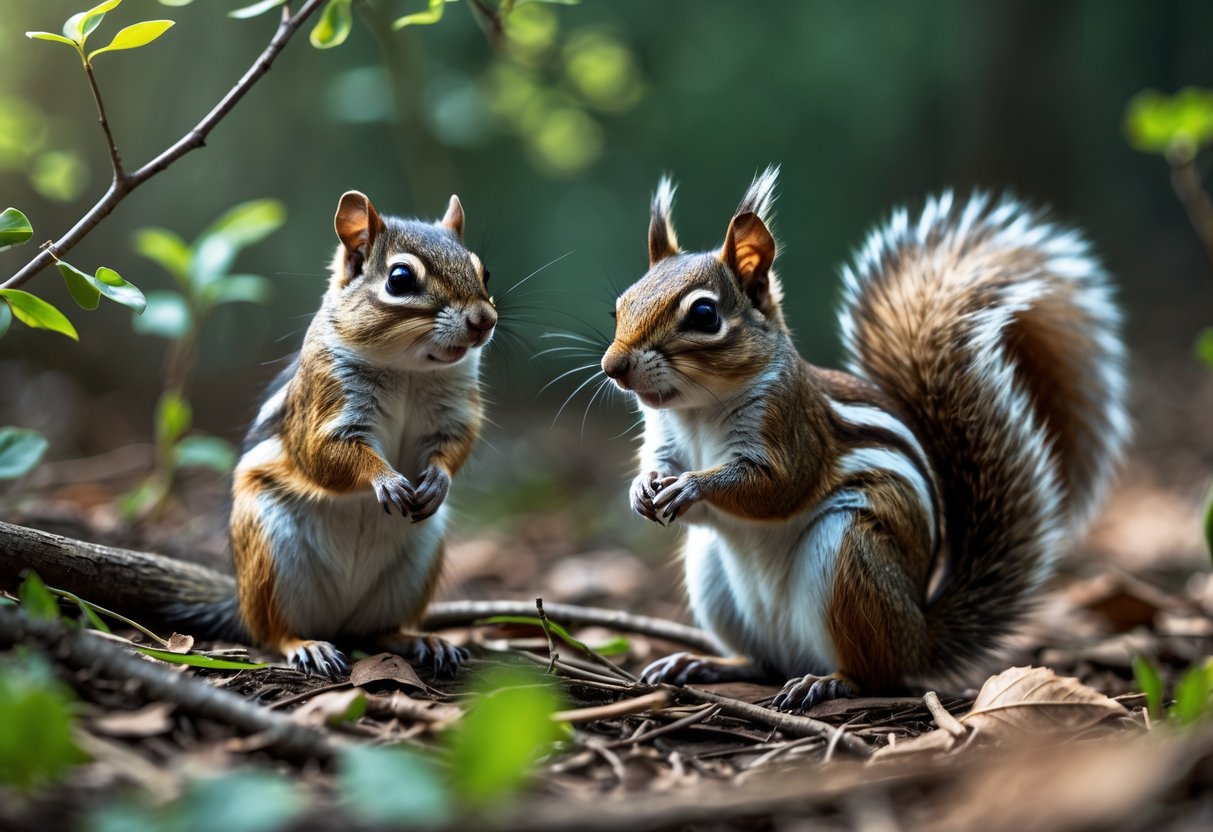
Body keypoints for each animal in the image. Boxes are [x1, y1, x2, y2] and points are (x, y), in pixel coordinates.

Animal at [182, 189, 496, 679]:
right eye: (400, 279)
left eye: (485, 272)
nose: (485, 320)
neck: (410, 371)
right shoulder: (326, 404)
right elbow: (324, 453)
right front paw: (385, 480)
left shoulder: (455, 413)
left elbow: (455, 446)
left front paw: (438, 480)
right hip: (269, 557)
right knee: (273, 632)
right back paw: (307, 645)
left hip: (415, 566)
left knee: (380, 631)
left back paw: (422, 641)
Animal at [601, 167, 1128, 711]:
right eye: (620, 306)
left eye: (704, 315)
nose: (612, 367)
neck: (697, 410)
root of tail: (918, 637)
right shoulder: (666, 440)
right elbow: (666, 473)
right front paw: (643, 489)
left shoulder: (793, 429)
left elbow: (776, 487)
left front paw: (693, 485)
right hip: (713, 577)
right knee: (764, 663)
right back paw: (706, 663)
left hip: (849, 559)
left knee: (874, 674)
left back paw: (828, 681)